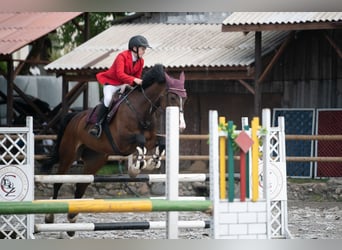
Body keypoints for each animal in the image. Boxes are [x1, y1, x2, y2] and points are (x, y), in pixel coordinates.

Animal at [39, 63, 187, 235]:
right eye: (173, 97)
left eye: (185, 98)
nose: (182, 126)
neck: (142, 111)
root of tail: (73, 117)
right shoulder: (122, 141)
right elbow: (140, 141)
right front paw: (137, 167)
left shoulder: (151, 139)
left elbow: (160, 142)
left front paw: (152, 162)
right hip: (68, 156)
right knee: (58, 182)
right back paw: (49, 216)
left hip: (95, 160)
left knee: (80, 186)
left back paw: (72, 221)